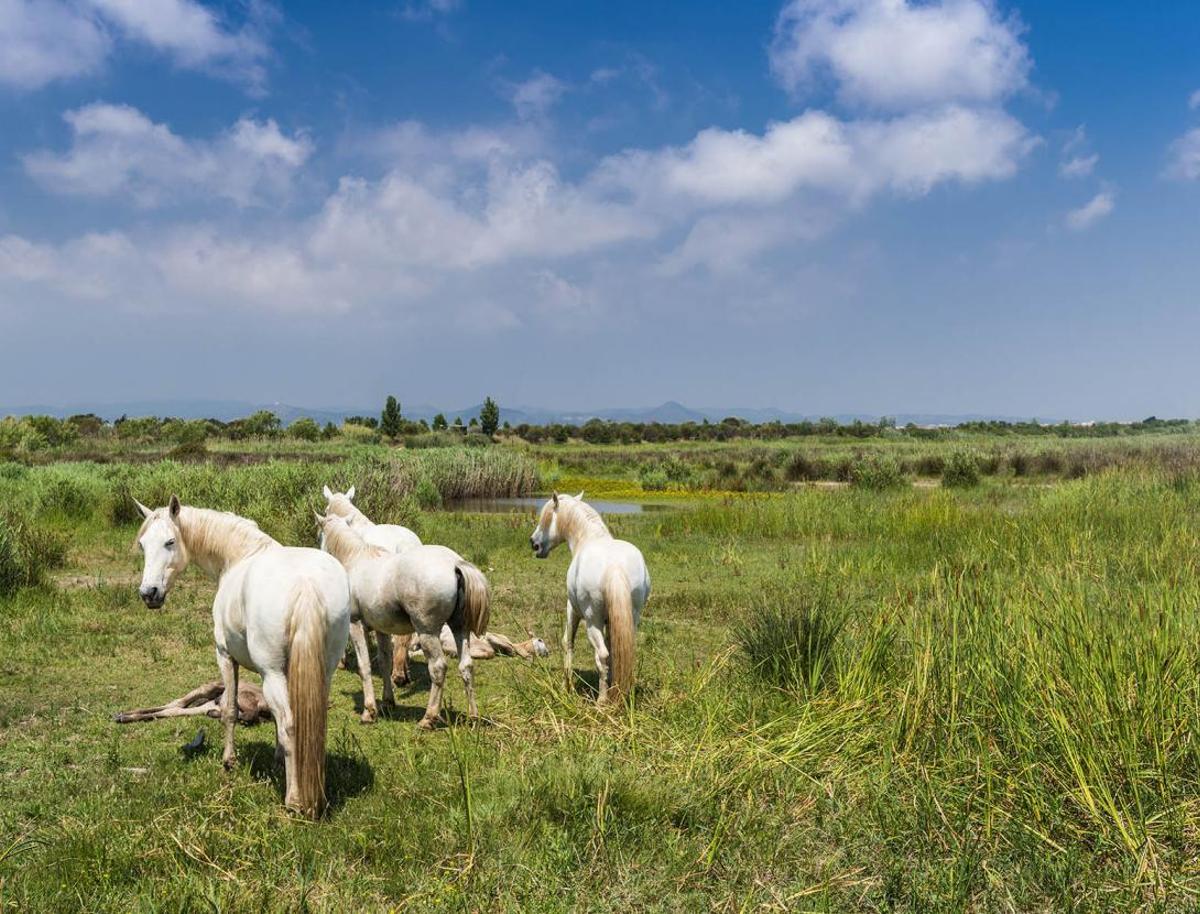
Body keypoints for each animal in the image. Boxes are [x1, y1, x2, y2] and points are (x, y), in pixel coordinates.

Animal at [137, 494, 350, 815]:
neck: (239, 555)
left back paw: (295, 801)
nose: (148, 593)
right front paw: (278, 761)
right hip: (323, 671)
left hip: (271, 674)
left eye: (170, 542)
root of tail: (306, 585)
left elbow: (230, 711)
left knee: (290, 726)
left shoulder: (225, 656)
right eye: (142, 545)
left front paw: (229, 761)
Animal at [319, 513, 492, 724]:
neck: (355, 561)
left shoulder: (356, 625)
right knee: (466, 666)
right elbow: (384, 662)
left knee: (438, 668)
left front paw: (369, 711)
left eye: (320, 535)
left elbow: (364, 666)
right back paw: (473, 716)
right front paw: (387, 702)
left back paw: (429, 718)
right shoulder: (381, 630)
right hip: (460, 628)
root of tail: (455, 564)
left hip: (427, 633)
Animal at [530, 491, 652, 695]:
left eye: (546, 517)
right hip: (632, 617)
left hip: (592, 622)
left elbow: (567, 642)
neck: (589, 537)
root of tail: (615, 567)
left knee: (601, 656)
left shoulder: (572, 609)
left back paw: (602, 700)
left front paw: (567, 686)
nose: (534, 544)